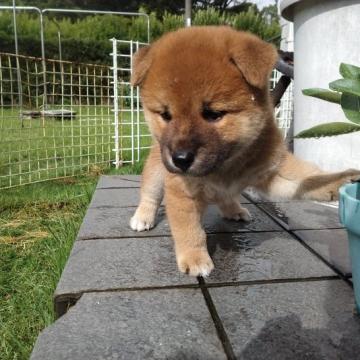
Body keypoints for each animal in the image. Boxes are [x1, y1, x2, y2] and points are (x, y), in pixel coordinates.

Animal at [129, 26, 360, 278]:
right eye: (165, 115)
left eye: (213, 114)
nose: (180, 159)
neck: (227, 165)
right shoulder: (182, 190)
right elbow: (189, 229)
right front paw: (194, 258)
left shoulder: (274, 170)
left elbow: (308, 180)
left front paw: (340, 180)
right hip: (156, 171)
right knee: (149, 194)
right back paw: (142, 217)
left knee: (226, 197)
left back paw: (234, 209)